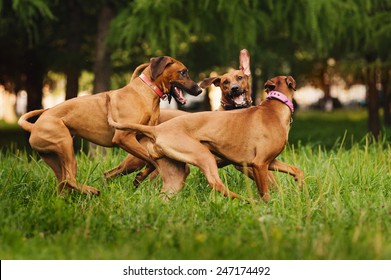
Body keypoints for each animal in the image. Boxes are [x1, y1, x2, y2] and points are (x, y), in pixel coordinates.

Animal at [18, 55, 202, 195]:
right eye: (183, 72)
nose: (199, 90)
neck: (146, 92)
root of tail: (34, 126)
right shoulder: (123, 138)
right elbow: (151, 160)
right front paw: (144, 176)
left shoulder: (142, 139)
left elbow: (150, 161)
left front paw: (141, 177)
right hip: (65, 146)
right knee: (69, 178)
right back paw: (92, 191)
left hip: (54, 157)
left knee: (64, 181)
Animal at [108, 75, 304, 200]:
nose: (235, 88)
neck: (274, 108)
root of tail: (156, 129)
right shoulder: (258, 164)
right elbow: (266, 192)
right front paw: (267, 206)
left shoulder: (269, 162)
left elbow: (296, 170)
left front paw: (300, 187)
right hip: (203, 156)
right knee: (216, 184)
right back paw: (245, 200)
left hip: (175, 175)